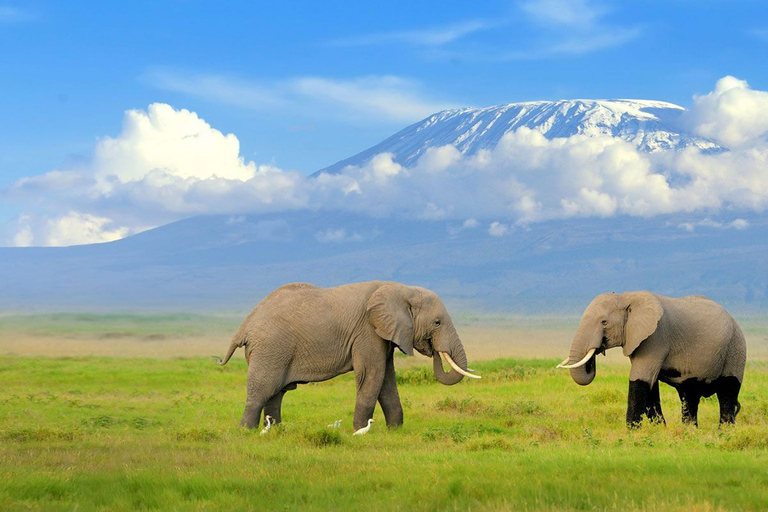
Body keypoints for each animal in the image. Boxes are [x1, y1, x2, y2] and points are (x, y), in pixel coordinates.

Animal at [218, 282, 480, 430]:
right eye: (437, 323)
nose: (432, 348)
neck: (402, 288)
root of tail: (245, 325)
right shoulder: (367, 331)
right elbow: (372, 375)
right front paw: (360, 431)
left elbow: (387, 379)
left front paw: (395, 431)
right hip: (270, 349)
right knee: (262, 390)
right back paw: (246, 431)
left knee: (276, 393)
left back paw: (277, 430)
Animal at [560, 292, 744, 428]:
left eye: (604, 322)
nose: (597, 350)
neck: (626, 297)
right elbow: (650, 385)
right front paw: (660, 430)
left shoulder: (655, 338)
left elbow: (640, 379)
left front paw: (632, 432)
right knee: (689, 395)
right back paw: (690, 432)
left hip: (735, 348)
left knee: (728, 391)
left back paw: (724, 433)